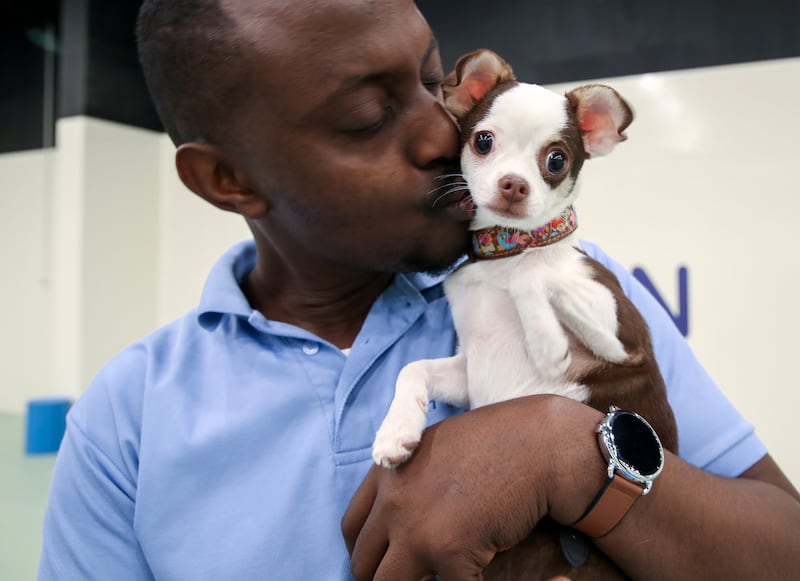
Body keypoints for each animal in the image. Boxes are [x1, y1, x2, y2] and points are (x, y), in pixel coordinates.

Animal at [374, 47, 676, 468]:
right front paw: (395, 429)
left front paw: (547, 347)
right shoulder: (467, 372)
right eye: (483, 141)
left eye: (556, 161)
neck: (504, 250)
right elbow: (412, 368)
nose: (514, 184)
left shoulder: (625, 342)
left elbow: (529, 272)